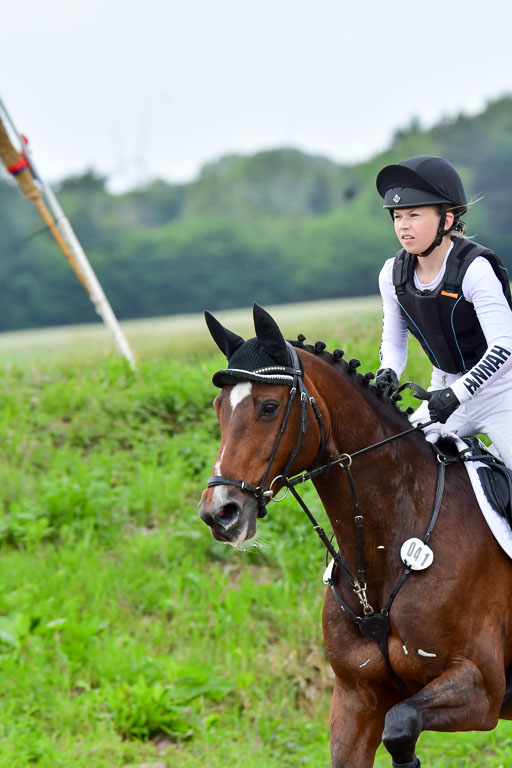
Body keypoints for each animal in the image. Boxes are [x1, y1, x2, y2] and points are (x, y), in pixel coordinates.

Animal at [198, 303, 512, 768]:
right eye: (219, 407)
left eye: (269, 406)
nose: (219, 513)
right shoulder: (355, 698)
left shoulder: (481, 688)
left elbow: (400, 725)